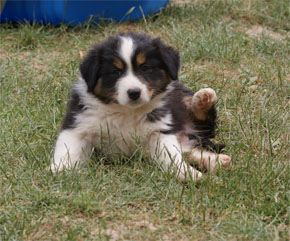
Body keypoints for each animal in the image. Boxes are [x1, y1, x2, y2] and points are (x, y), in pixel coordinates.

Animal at [49, 33, 231, 182]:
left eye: (145, 68)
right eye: (115, 72)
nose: (134, 92)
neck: (126, 111)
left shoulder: (160, 131)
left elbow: (171, 157)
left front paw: (189, 175)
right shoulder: (78, 124)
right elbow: (67, 149)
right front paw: (59, 170)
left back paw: (203, 99)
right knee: (190, 149)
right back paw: (217, 161)